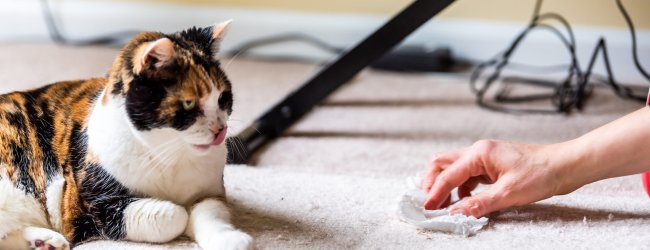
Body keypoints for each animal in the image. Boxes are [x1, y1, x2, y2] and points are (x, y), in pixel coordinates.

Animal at [0, 20, 252, 249]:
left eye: (223, 97)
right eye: (189, 103)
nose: (220, 130)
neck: (169, 154)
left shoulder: (210, 191)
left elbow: (210, 212)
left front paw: (231, 240)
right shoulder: (90, 206)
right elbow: (174, 215)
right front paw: (180, 213)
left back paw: (43, 241)